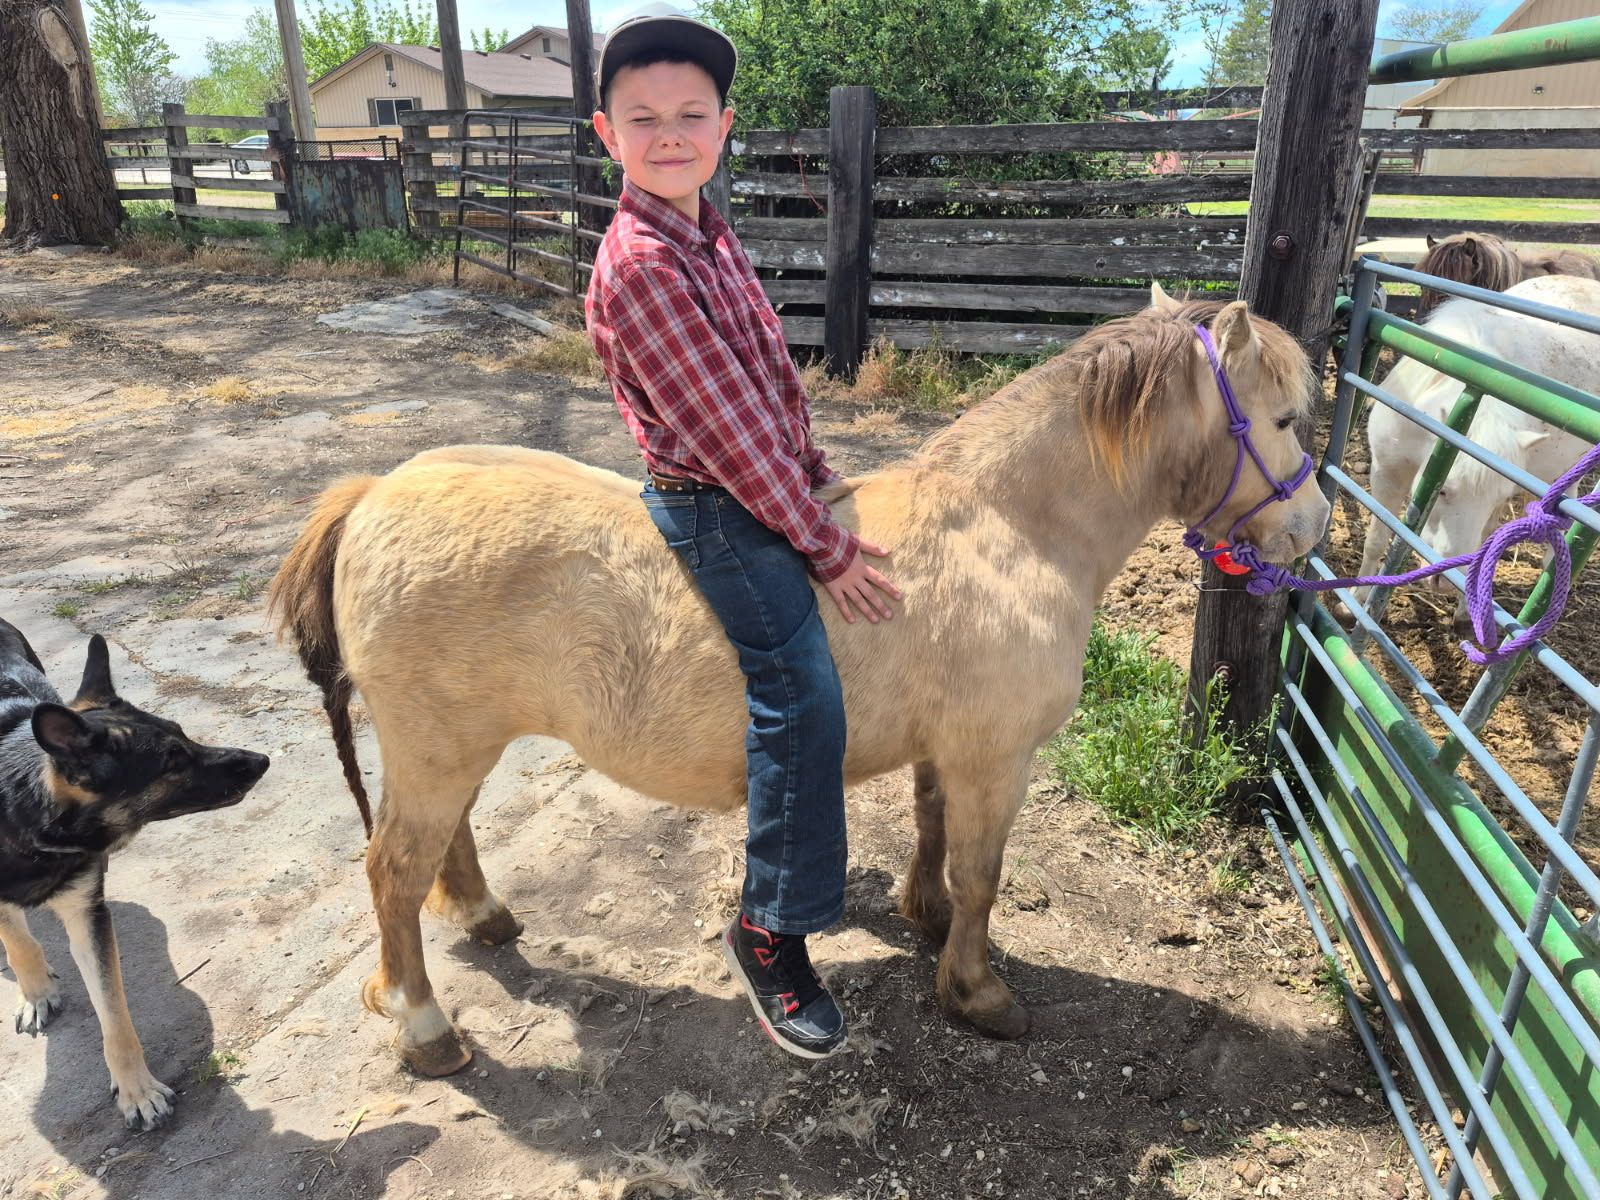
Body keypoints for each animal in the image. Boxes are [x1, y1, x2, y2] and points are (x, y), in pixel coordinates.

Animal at [267, 287, 1330, 1077]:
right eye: (1283, 418)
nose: (1313, 527)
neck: (1006, 527)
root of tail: (376, 492)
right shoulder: (996, 757)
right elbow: (984, 875)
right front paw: (977, 991)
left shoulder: (950, 752)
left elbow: (935, 834)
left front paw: (924, 916)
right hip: (436, 746)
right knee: (393, 871)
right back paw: (422, 1026)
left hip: (453, 744)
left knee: (443, 846)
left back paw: (484, 917)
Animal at [1358, 274, 1600, 638]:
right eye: (1443, 490)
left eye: (1492, 498)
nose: (1447, 582)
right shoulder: (1386, 472)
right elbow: (1375, 540)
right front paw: (1351, 606)